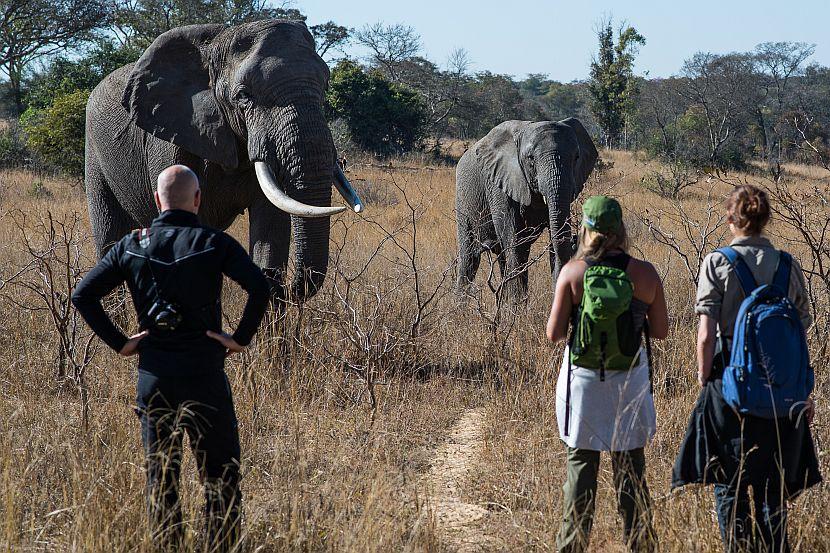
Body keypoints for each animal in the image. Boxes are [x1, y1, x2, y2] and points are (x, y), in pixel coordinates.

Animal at [83, 20, 364, 306]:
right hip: (94, 153)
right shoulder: (169, 141)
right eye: (244, 96)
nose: (287, 292)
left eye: (325, 85)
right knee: (108, 237)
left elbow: (271, 225)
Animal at [456, 116, 600, 298]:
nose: (575, 240)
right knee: (470, 259)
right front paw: (516, 305)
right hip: (463, 200)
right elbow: (513, 240)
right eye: (530, 158)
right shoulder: (499, 184)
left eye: (576, 157)